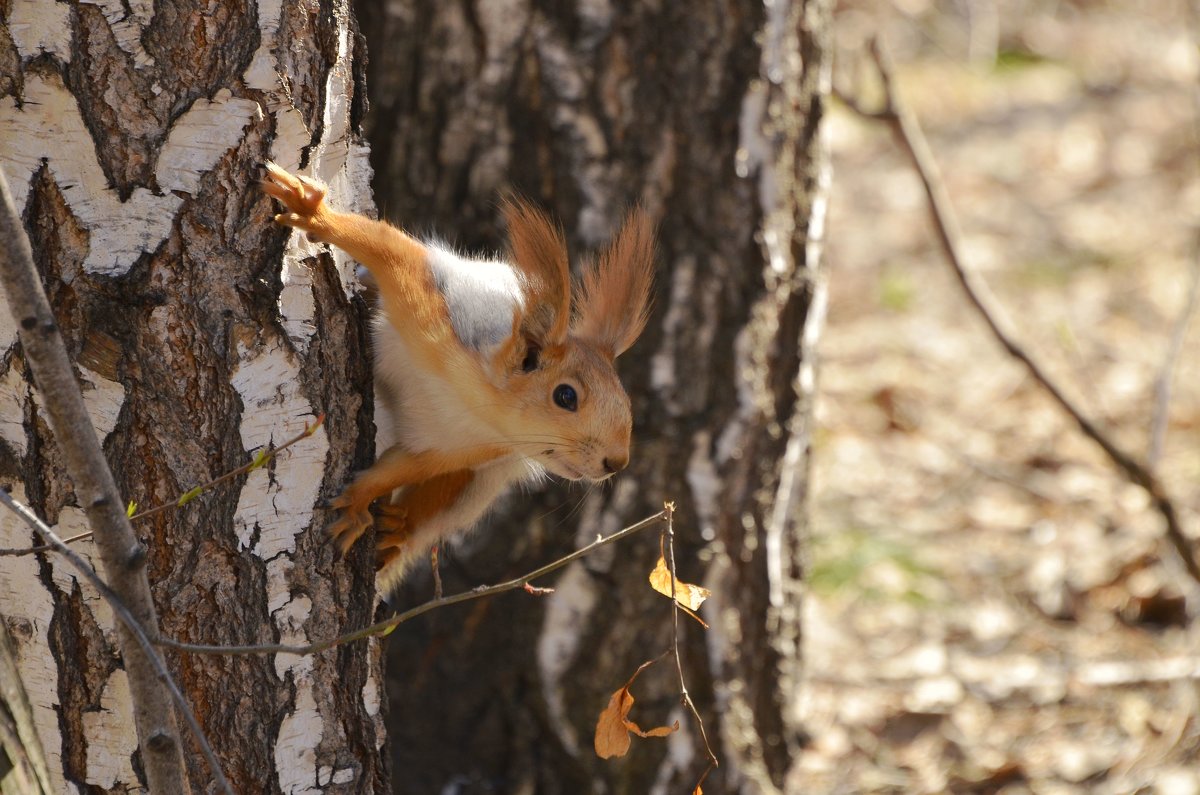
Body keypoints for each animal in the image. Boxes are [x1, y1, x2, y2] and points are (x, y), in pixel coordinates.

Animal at [265, 164, 657, 595]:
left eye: (625, 399)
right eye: (566, 396)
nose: (616, 461)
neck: (476, 405)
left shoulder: (454, 450)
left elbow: (397, 469)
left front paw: (358, 503)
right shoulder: (431, 309)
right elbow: (387, 251)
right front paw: (315, 214)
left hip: (477, 483)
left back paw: (397, 530)